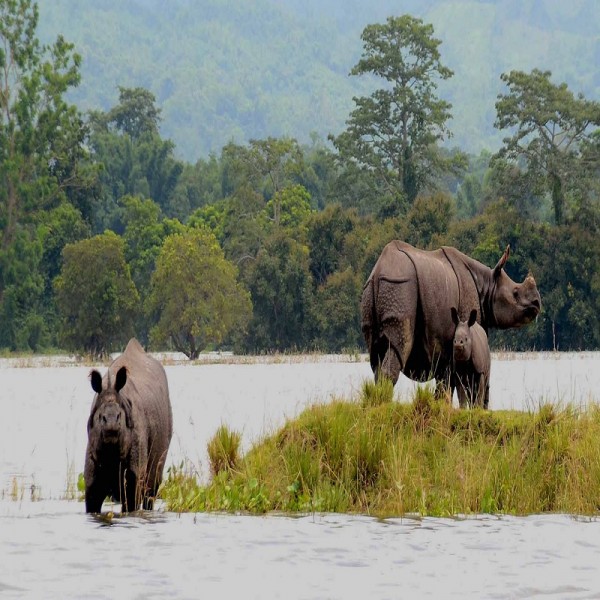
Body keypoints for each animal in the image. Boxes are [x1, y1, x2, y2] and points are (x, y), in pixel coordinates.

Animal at [82, 340, 171, 512]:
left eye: (120, 416)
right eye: (100, 417)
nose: (111, 425)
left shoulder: (134, 477)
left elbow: (131, 502)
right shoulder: (91, 481)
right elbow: (93, 502)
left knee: (151, 491)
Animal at [360, 241, 544, 396]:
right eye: (515, 293)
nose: (537, 303)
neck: (487, 285)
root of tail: (378, 272)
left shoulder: (445, 346)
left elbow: (444, 381)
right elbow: (451, 382)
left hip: (373, 290)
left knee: (376, 356)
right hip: (401, 286)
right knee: (399, 344)